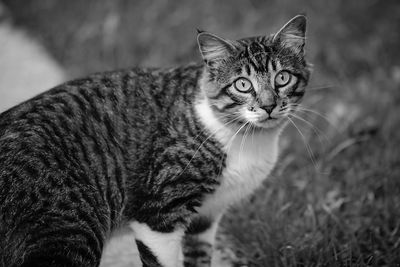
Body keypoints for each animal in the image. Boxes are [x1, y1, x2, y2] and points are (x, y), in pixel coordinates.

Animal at [0, 15, 312, 267]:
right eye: (243, 84)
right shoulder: (158, 215)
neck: (245, 139)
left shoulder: (205, 218)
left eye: (282, 78)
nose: (268, 105)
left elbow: (199, 259)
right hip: (68, 229)